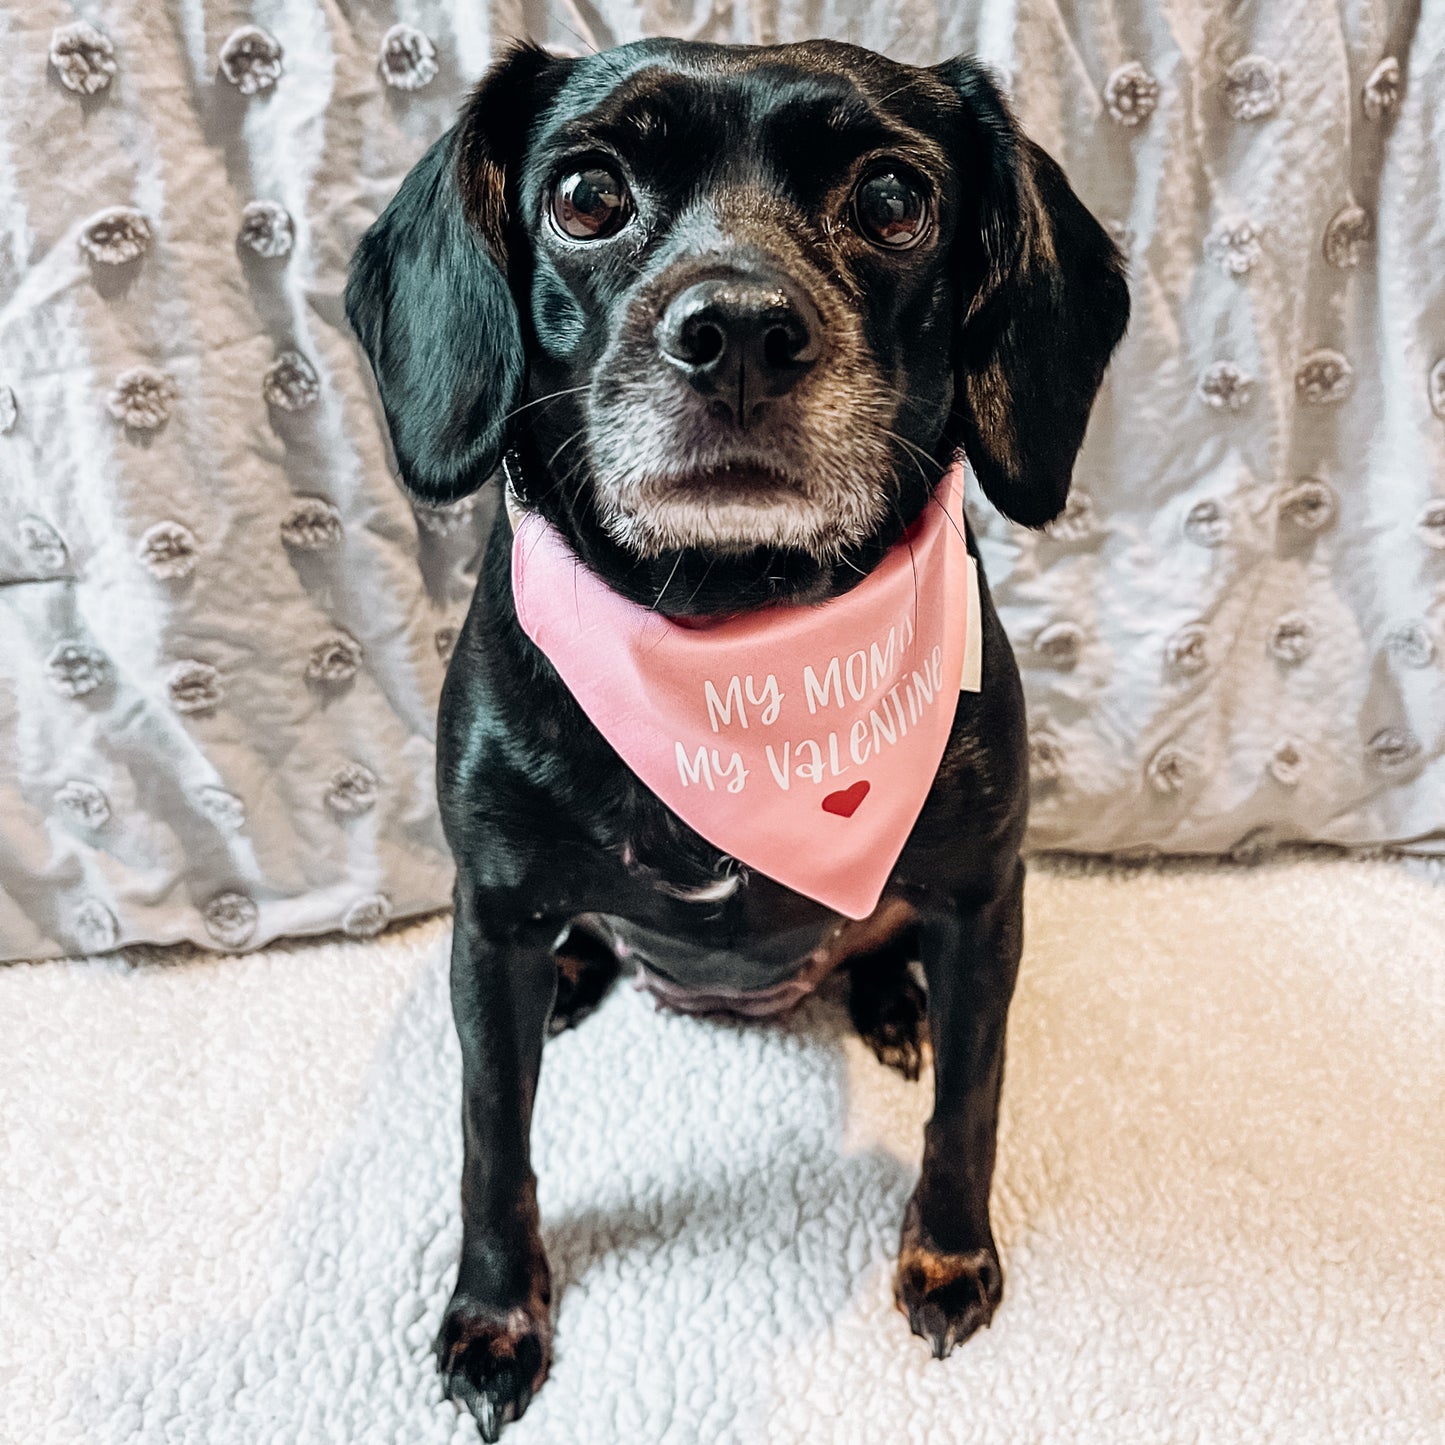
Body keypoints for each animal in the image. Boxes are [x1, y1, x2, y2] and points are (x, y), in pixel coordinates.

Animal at [346, 39, 1127, 1439]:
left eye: (892, 200)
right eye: (586, 195)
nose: (740, 335)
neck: (728, 628)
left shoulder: (986, 895)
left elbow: (969, 1102)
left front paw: (947, 1255)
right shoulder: (488, 911)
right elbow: (491, 1136)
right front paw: (493, 1315)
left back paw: (890, 999)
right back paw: (578, 977)